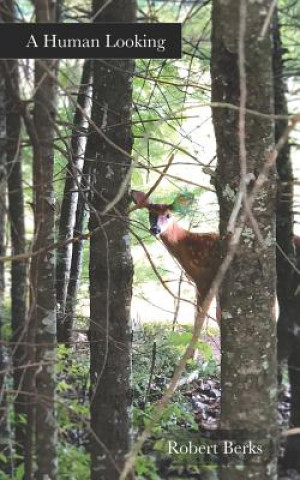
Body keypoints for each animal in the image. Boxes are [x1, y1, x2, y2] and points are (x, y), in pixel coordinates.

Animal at [132, 190, 223, 330]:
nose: (155, 229)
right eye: (151, 213)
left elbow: (200, 318)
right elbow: (217, 316)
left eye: (168, 215)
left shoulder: (204, 277)